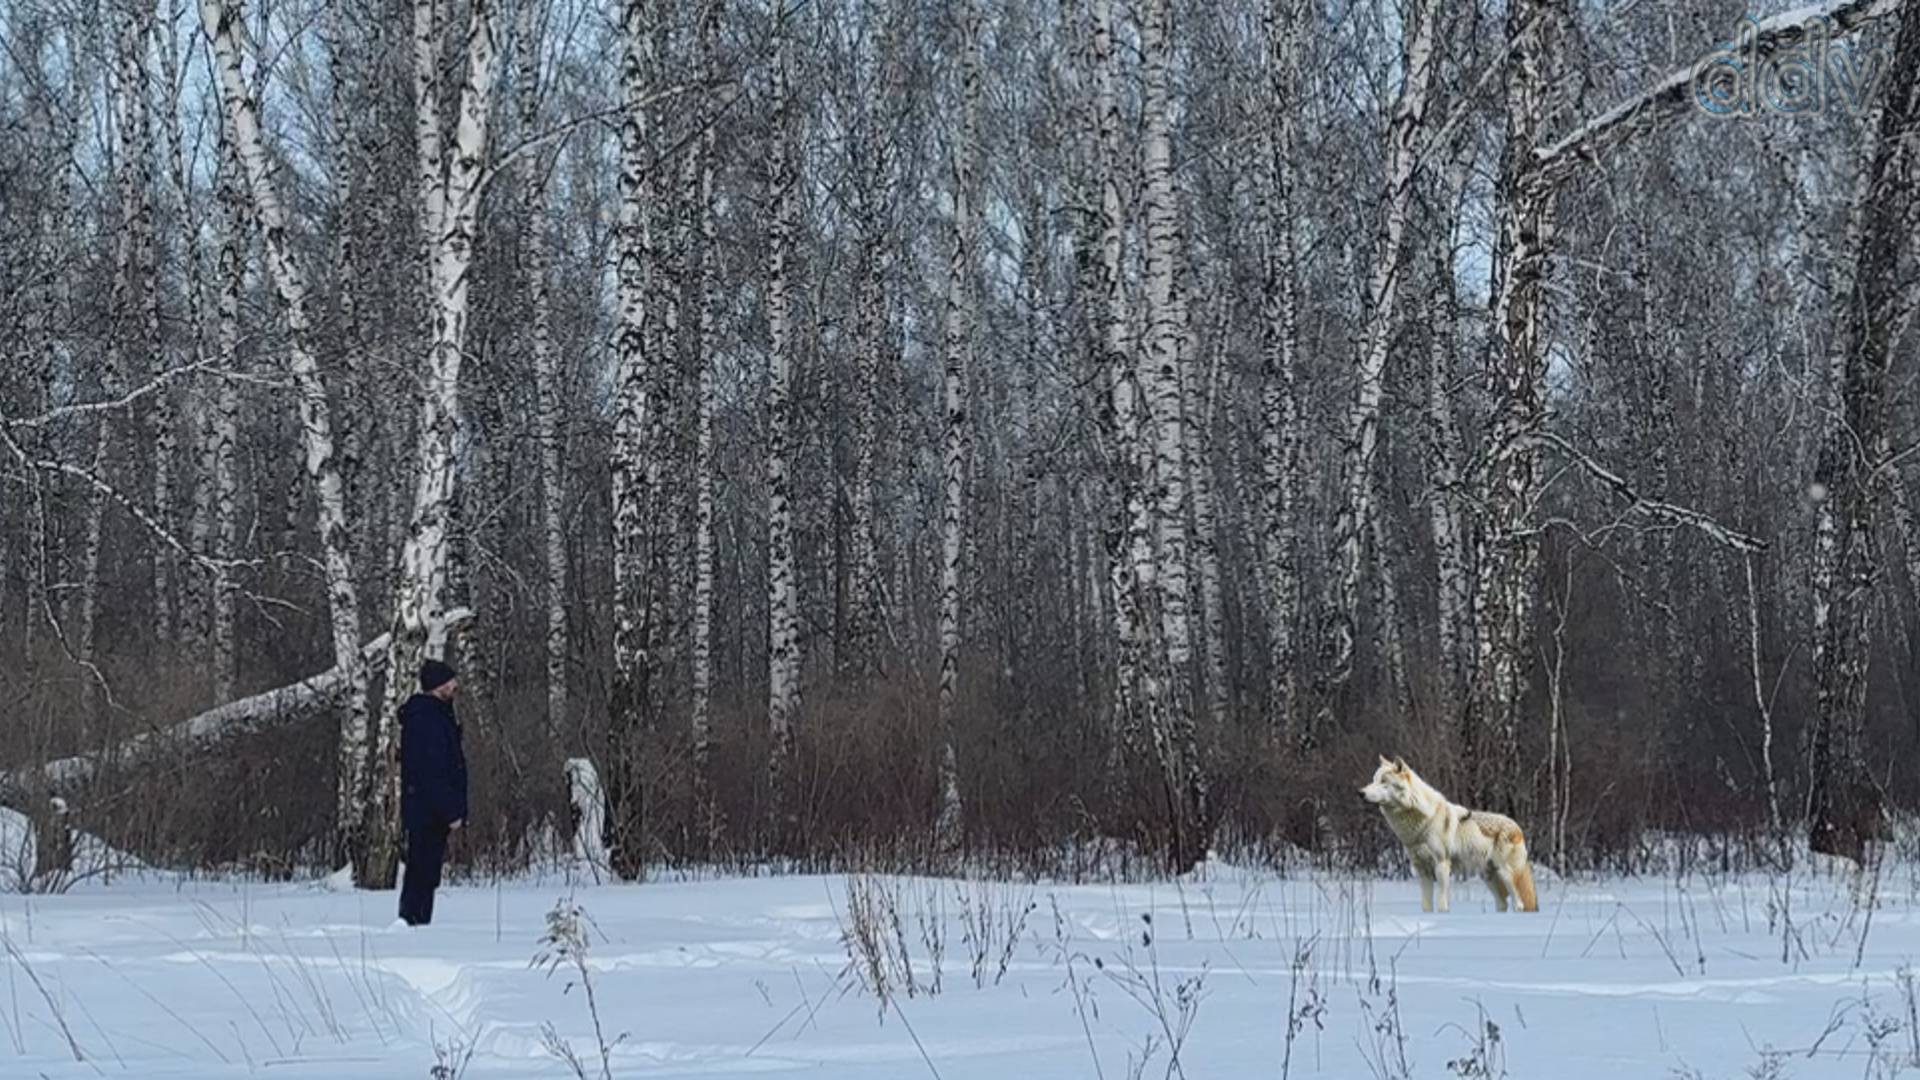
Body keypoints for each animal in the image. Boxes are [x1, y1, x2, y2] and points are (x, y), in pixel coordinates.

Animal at [1360, 756, 1538, 913]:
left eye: (1383, 781)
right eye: (1373, 780)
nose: (1360, 793)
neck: (1421, 824)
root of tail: (1517, 827)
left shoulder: (1442, 864)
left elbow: (1441, 903)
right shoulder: (1422, 870)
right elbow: (1426, 905)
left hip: (1505, 874)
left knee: (1519, 904)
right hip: (1488, 877)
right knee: (1502, 904)